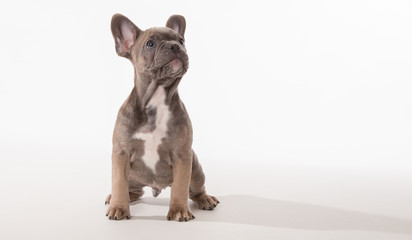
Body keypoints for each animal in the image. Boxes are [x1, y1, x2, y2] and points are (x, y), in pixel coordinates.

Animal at [104, 14, 219, 222]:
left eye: (181, 41)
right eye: (150, 44)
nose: (175, 46)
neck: (156, 97)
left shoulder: (182, 155)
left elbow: (180, 186)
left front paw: (179, 210)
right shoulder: (121, 153)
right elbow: (118, 182)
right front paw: (118, 207)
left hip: (196, 169)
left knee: (195, 189)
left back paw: (205, 199)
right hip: (132, 175)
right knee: (132, 190)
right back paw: (116, 198)